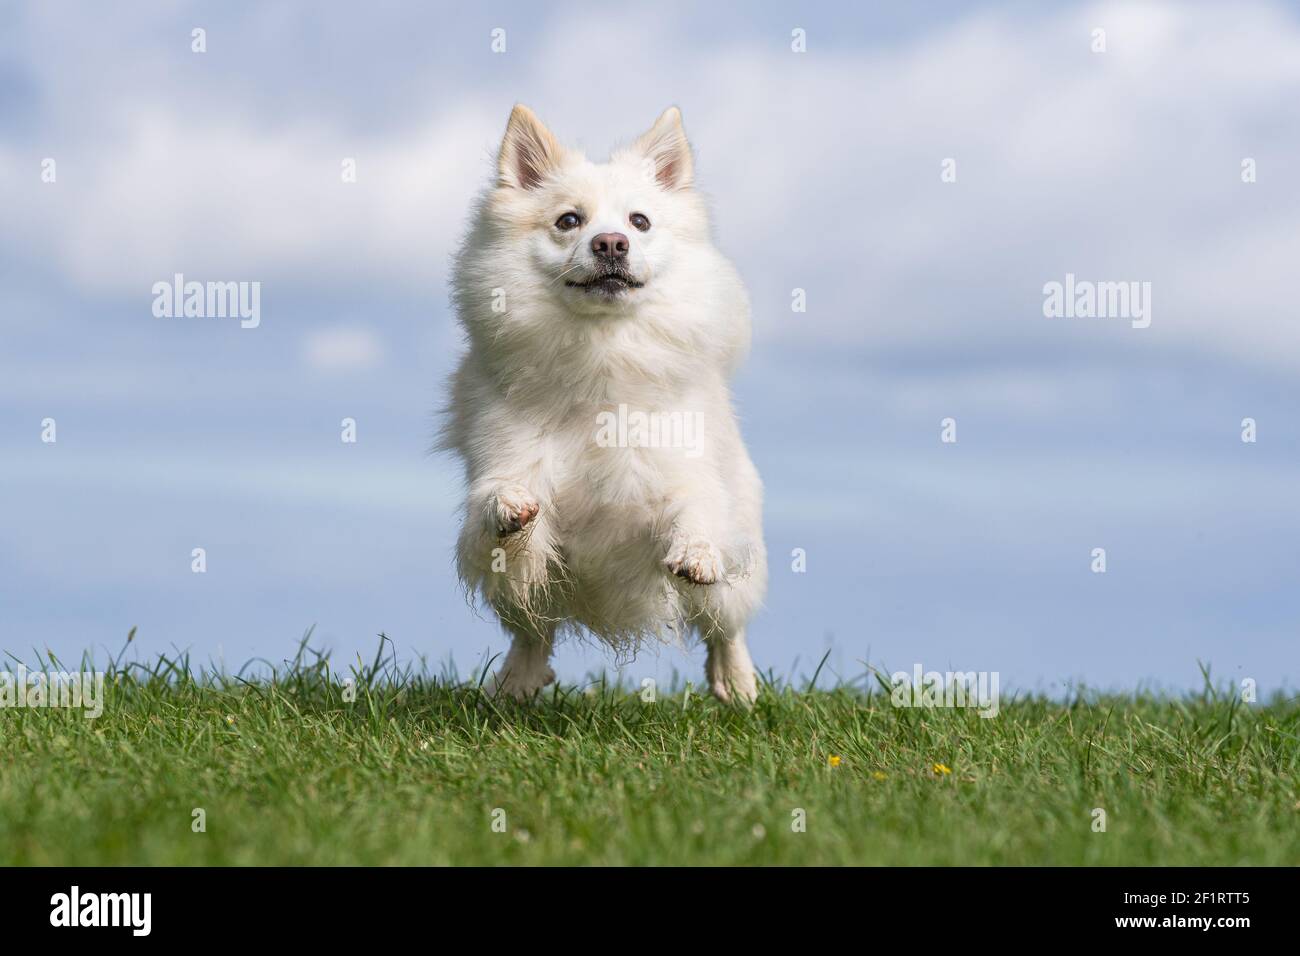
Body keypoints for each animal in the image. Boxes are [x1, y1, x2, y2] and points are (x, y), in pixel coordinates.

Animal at [447, 106, 769, 702]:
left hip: (733, 576)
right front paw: (509, 504)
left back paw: (736, 684)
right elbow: (500, 494)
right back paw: (517, 682)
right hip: (527, 594)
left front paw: (695, 552)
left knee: (725, 626)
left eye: (639, 222)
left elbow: (692, 511)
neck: (601, 351)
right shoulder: (508, 463)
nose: (612, 243)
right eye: (568, 221)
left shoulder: (675, 477)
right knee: (533, 629)